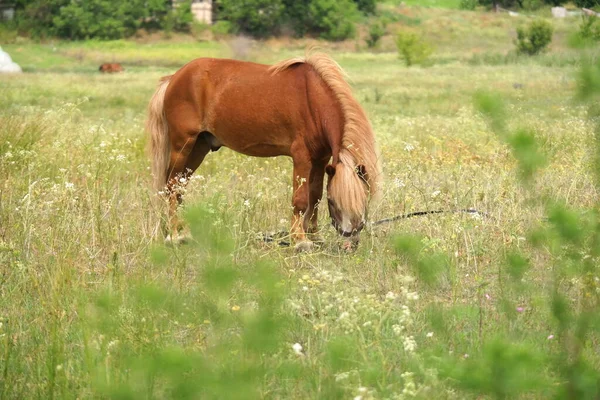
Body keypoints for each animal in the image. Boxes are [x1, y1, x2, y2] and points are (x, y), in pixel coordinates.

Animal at [146, 51, 380, 248]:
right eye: (334, 202)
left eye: (364, 200)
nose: (350, 244)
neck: (312, 100)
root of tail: (174, 78)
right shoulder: (301, 157)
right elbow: (301, 199)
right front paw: (300, 240)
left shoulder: (321, 159)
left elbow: (315, 196)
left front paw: (314, 236)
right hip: (182, 145)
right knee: (171, 186)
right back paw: (174, 236)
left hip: (199, 147)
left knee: (180, 188)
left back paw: (183, 232)